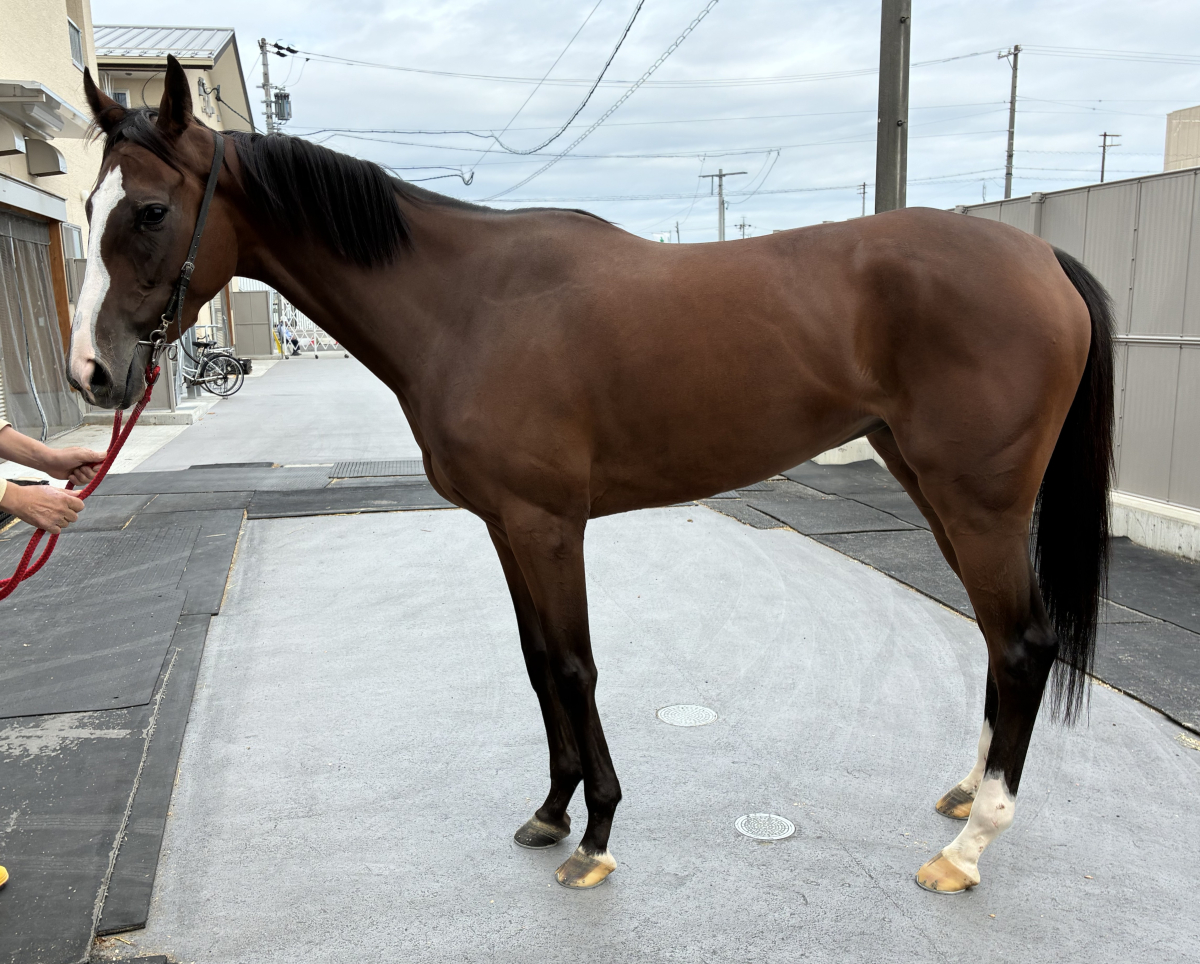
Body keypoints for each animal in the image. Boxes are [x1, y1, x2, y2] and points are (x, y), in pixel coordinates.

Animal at [69, 57, 1112, 894]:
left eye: (151, 210)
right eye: (85, 208)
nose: (93, 374)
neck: (467, 304)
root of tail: (1041, 256)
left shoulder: (547, 523)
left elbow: (575, 665)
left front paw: (598, 833)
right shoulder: (504, 525)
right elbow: (539, 665)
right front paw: (552, 808)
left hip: (979, 502)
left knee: (1024, 643)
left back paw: (970, 848)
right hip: (935, 489)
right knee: (997, 640)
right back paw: (966, 794)